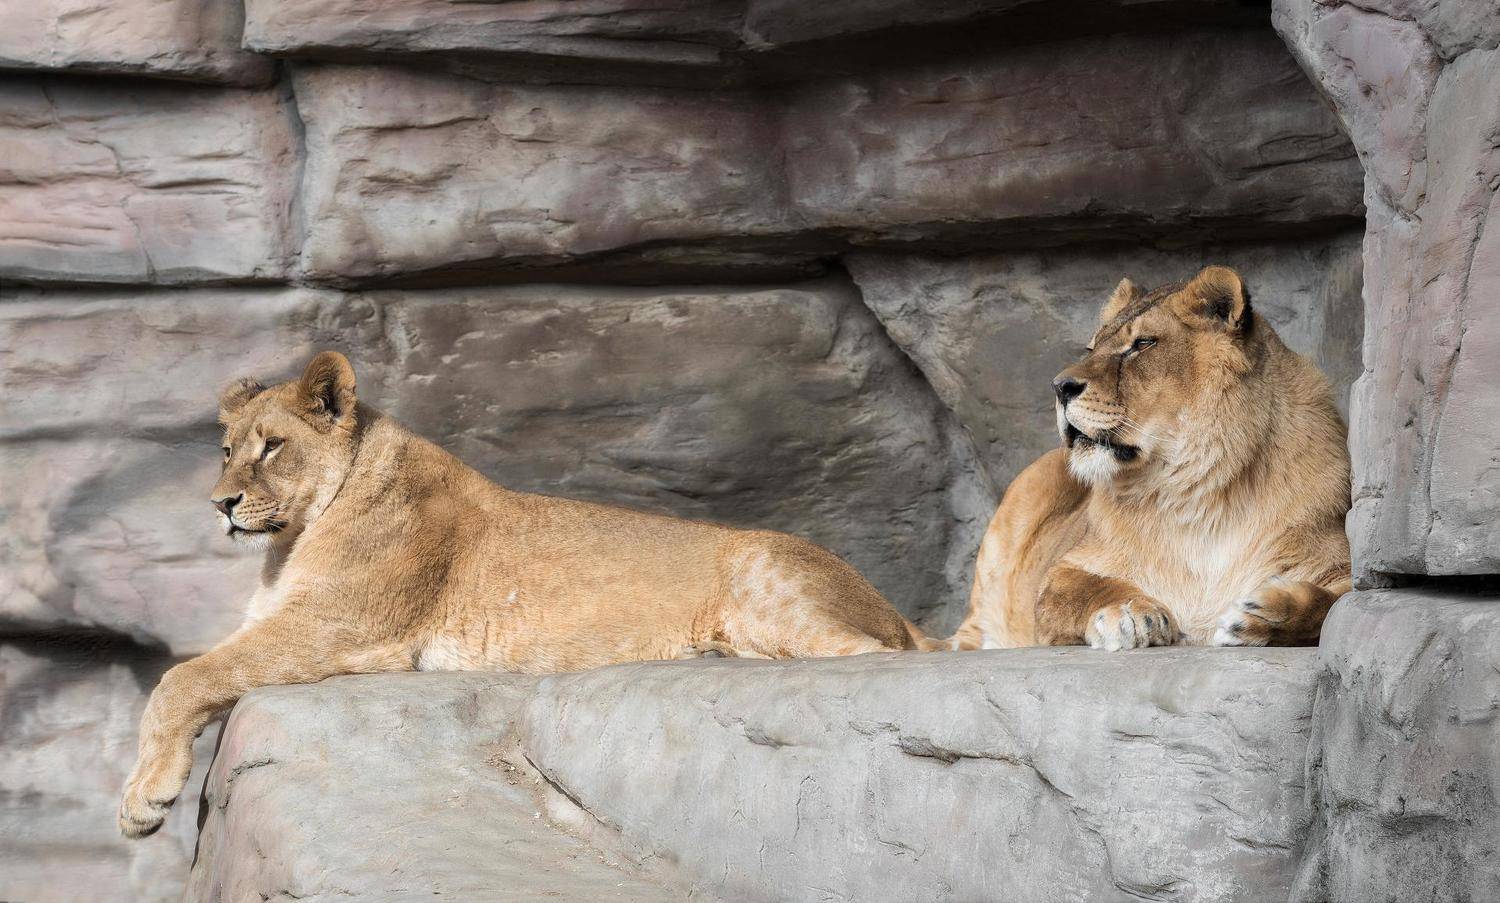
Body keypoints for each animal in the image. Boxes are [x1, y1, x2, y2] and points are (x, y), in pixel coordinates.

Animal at [119, 350, 934, 838]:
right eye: (227, 449)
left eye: (272, 447)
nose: (220, 504)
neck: (290, 542)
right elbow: (199, 672)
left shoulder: (336, 625)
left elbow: (182, 678)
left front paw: (142, 801)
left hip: (769, 579)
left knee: (874, 654)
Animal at [951, 265, 1351, 652]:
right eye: (1091, 348)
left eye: (1142, 344)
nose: (1060, 387)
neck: (1196, 494)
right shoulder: (1065, 568)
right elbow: (1088, 589)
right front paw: (1129, 612)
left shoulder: (1340, 562)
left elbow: (1330, 605)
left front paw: (1267, 616)